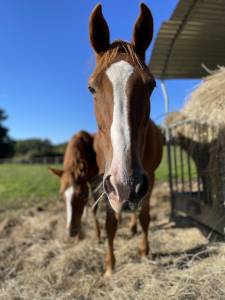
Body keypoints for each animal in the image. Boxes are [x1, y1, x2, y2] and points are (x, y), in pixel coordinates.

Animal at [89, 3, 163, 276]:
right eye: (92, 88)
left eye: (151, 85)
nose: (126, 185)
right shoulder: (105, 179)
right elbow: (110, 223)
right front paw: (110, 265)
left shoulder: (149, 176)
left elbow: (145, 217)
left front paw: (144, 251)